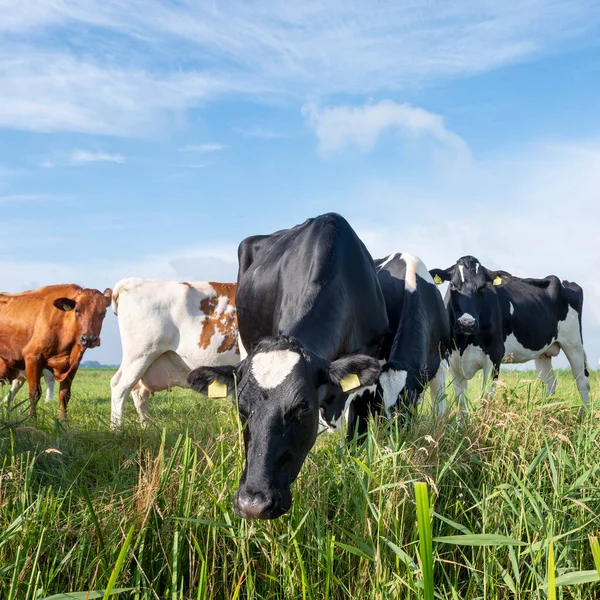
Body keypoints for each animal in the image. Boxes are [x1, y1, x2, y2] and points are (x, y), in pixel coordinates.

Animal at [0, 288, 112, 422]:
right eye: (77, 311)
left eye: (103, 312)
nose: (88, 339)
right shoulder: (33, 357)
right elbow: (34, 392)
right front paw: (32, 419)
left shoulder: (73, 364)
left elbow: (65, 394)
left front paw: (63, 420)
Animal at [109, 278, 240, 426]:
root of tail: (131, 281)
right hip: (140, 354)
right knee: (120, 387)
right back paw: (117, 429)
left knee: (139, 392)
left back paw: (146, 427)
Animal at [432, 255, 592, 410]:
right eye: (453, 285)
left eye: (483, 287)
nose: (467, 323)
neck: (464, 343)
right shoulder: (452, 360)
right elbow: (461, 403)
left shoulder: (495, 355)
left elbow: (486, 399)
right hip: (543, 352)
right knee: (551, 382)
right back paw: (544, 410)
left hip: (574, 343)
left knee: (582, 381)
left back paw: (585, 415)